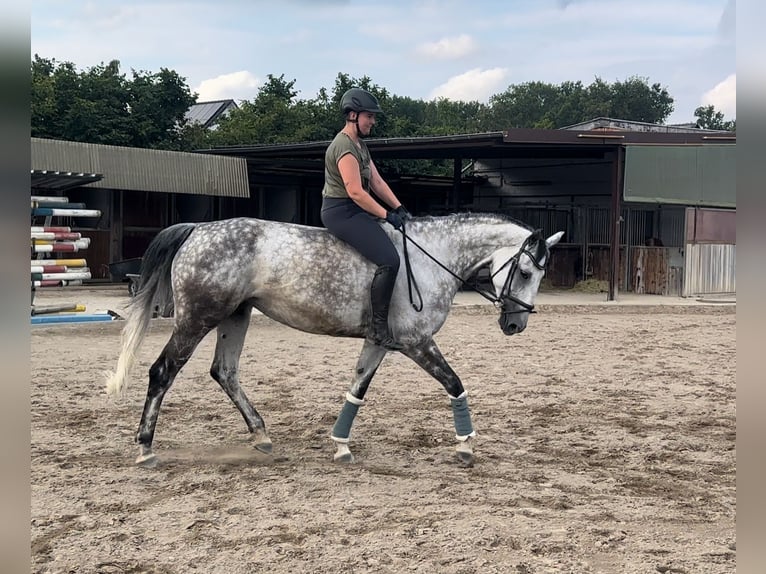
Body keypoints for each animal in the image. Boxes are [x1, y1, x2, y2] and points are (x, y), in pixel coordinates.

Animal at [105, 213, 563, 467]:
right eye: (525, 271)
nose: (515, 326)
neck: (431, 257)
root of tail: (198, 229)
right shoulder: (416, 342)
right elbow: (454, 383)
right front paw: (466, 446)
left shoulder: (380, 342)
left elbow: (357, 389)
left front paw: (341, 446)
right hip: (199, 318)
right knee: (162, 372)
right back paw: (146, 449)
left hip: (236, 315)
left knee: (225, 372)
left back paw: (261, 436)